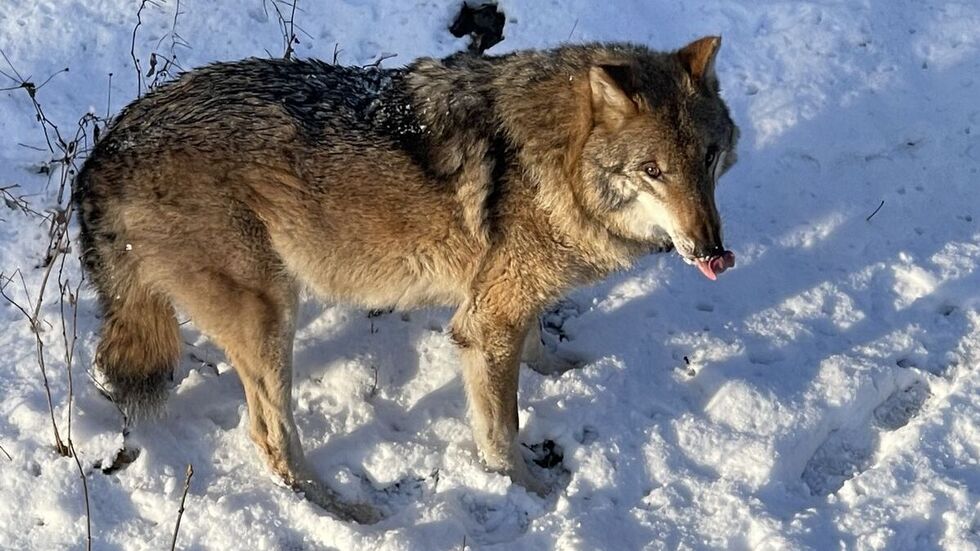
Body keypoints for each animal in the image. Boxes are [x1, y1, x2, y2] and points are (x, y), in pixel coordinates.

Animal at [74, 36, 739, 523]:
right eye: (652, 171)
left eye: (706, 159)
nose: (713, 250)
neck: (554, 159)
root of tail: (106, 148)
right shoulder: (483, 327)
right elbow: (501, 431)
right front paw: (529, 493)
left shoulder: (504, 299)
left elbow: (536, 342)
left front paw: (560, 366)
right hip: (270, 315)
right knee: (269, 438)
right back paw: (344, 513)